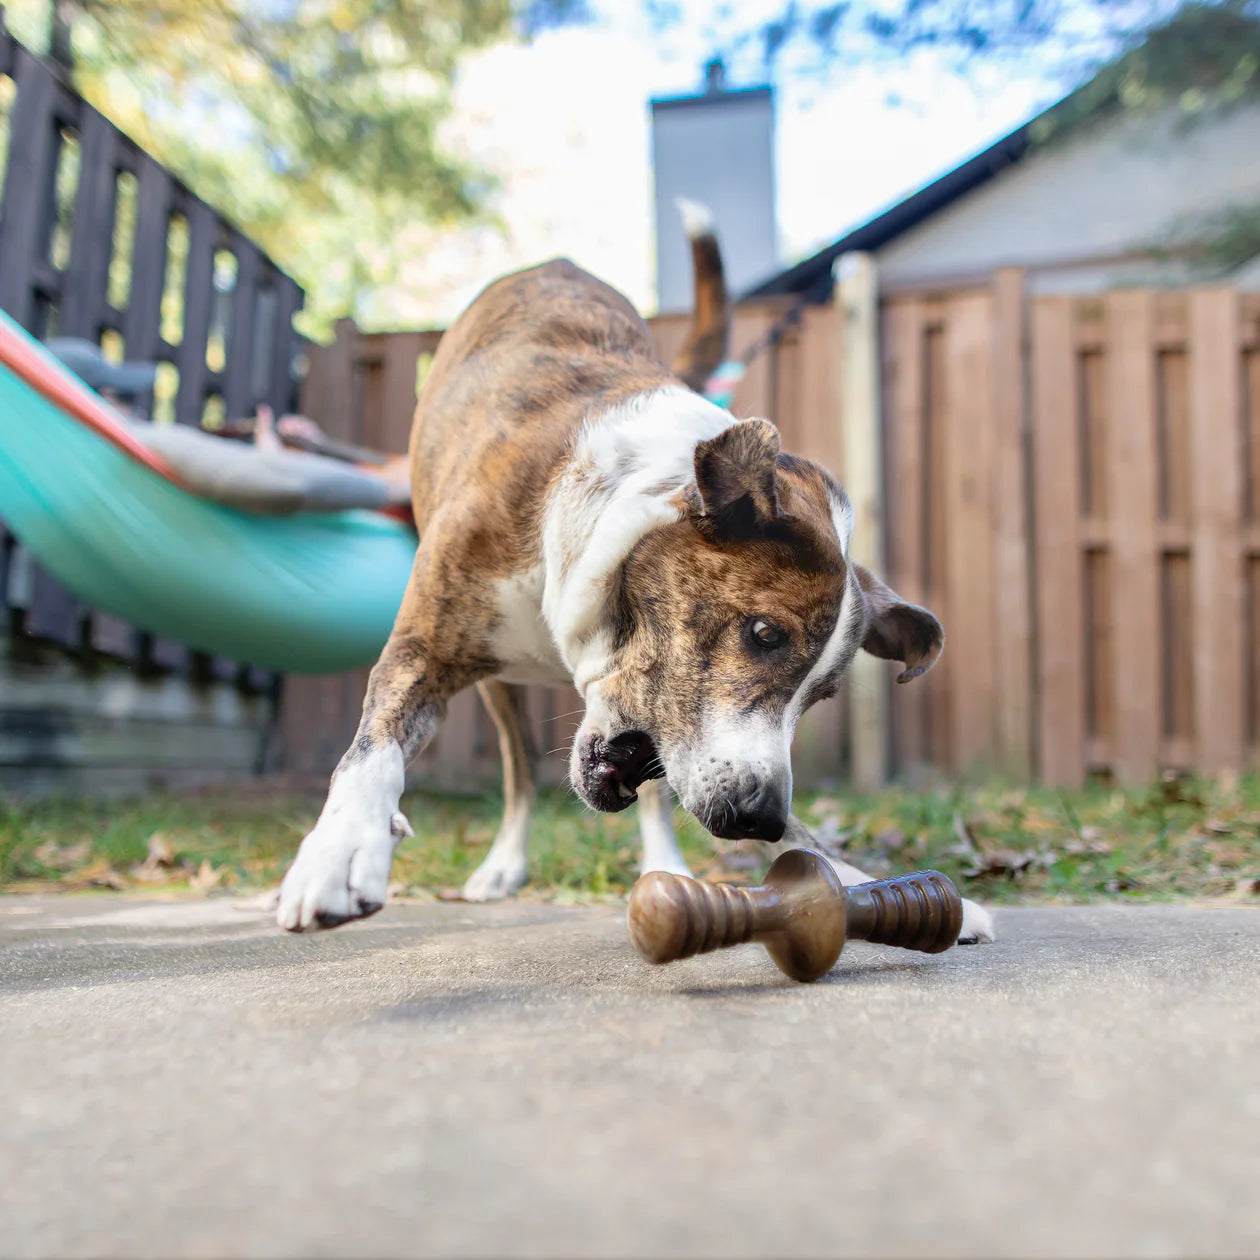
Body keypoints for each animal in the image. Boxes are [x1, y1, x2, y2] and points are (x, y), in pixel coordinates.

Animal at [275, 204, 992, 947]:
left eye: (821, 696)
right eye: (764, 633)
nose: (758, 818)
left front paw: (866, 881)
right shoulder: (425, 645)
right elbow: (374, 747)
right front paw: (343, 845)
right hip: (499, 687)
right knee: (517, 770)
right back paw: (502, 865)